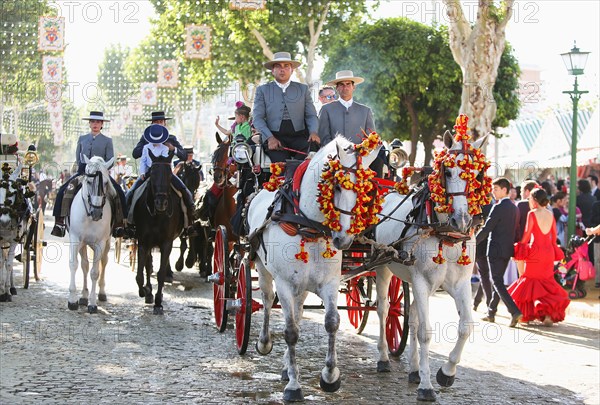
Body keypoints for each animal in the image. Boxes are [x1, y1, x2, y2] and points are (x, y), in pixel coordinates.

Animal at [67, 155, 115, 312]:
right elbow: (74, 265)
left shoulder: (100, 243)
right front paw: (73, 300)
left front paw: (92, 303)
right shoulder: (75, 239)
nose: (97, 213)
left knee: (103, 263)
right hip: (83, 244)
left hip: (106, 243)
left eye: (105, 183)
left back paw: (101, 293)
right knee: (84, 266)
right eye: (88, 181)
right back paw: (83, 296)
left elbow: (95, 272)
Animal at [247, 134, 380, 400]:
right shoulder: (284, 283)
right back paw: (265, 342)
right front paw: (294, 386)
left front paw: (330, 376)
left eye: (365, 191)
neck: (307, 226)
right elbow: (290, 331)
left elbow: (331, 322)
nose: (344, 239)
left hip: (303, 286)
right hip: (264, 269)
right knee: (266, 300)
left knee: (298, 311)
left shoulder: (328, 283)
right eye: (337, 186)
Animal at [376, 130, 488, 400]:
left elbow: (466, 326)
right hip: (383, 268)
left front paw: (446, 373)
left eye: (477, 174)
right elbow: (425, 332)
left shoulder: (459, 283)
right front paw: (427, 387)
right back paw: (384, 358)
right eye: (447, 171)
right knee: (383, 309)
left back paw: (415, 370)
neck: (445, 233)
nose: (462, 219)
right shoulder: (421, 280)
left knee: (412, 314)